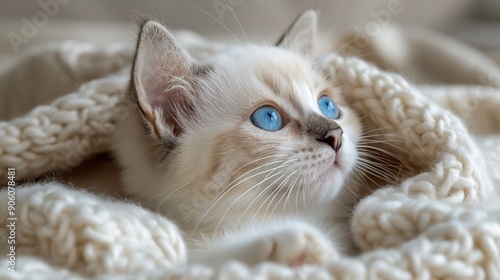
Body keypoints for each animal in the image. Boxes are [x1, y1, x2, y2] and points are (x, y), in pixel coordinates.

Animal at [115, 10, 362, 270]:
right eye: (269, 118)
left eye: (328, 106)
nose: (336, 135)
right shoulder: (184, 259)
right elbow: (210, 260)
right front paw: (294, 244)